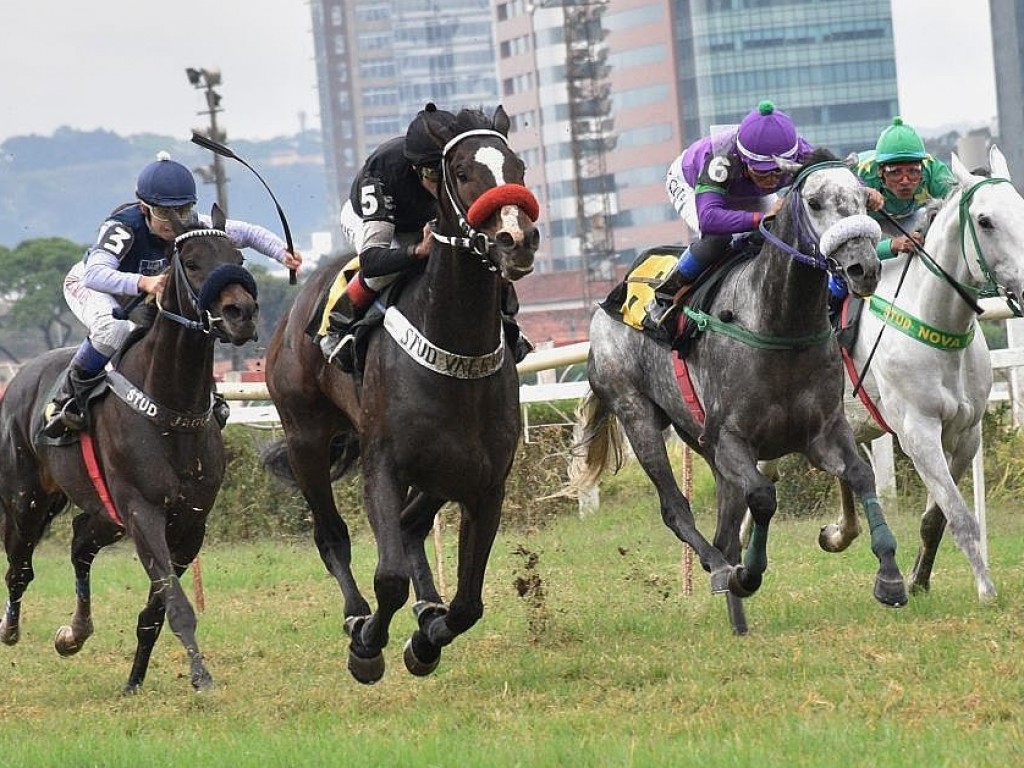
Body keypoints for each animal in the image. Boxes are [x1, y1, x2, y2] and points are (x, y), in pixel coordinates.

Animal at [0, 207, 260, 696]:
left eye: (237, 257)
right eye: (192, 262)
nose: (242, 313)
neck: (172, 407)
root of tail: (19, 376)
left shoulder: (189, 523)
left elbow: (156, 610)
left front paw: (134, 681)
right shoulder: (143, 512)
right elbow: (176, 604)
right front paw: (202, 678)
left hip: (104, 513)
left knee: (80, 544)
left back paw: (74, 633)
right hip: (27, 499)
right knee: (19, 568)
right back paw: (10, 629)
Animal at [262, 103, 544, 684]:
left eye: (519, 167)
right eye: (462, 172)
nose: (517, 239)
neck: (456, 352)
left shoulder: (486, 483)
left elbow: (469, 603)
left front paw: (427, 640)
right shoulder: (382, 467)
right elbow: (387, 577)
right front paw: (369, 646)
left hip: (441, 468)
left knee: (414, 528)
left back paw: (426, 607)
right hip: (306, 439)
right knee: (332, 536)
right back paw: (356, 618)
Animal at [573, 151, 909, 638]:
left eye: (864, 198)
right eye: (815, 202)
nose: (863, 268)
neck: (778, 324)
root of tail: (606, 306)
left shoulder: (822, 432)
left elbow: (861, 476)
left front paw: (889, 576)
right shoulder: (731, 440)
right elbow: (764, 498)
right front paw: (748, 574)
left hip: (700, 443)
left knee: (725, 530)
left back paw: (739, 622)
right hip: (637, 415)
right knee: (678, 511)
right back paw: (719, 569)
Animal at [823, 144, 1024, 602]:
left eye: (1022, 208)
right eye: (984, 221)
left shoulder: (966, 434)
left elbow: (938, 518)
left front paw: (918, 579)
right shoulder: (919, 433)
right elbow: (960, 515)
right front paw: (987, 590)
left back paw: (839, 533)